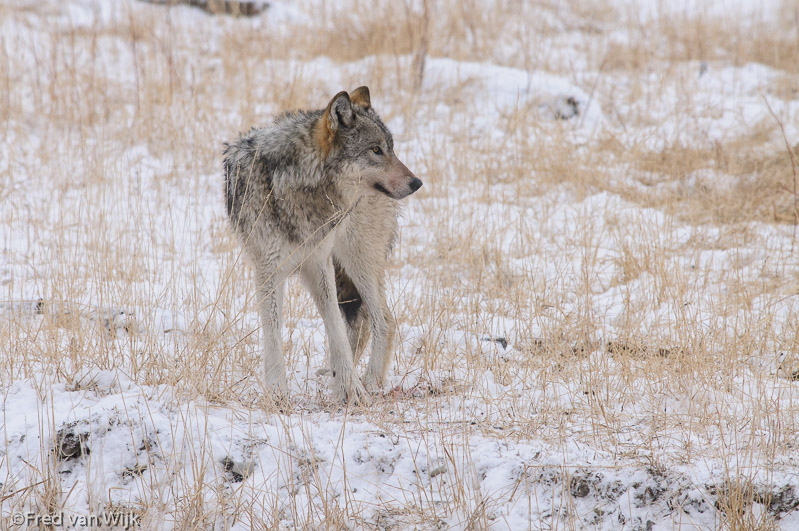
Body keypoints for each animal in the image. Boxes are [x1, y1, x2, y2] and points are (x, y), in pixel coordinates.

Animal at [223, 87, 422, 404]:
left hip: (357, 260)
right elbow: (274, 330)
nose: (417, 183)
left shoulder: (319, 264)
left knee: (384, 320)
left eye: (390, 149)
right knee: (366, 322)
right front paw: (277, 392)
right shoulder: (269, 270)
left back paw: (370, 382)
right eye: (375, 150)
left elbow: (336, 330)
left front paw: (352, 390)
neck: (301, 188)